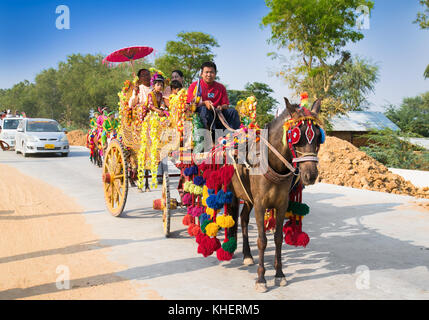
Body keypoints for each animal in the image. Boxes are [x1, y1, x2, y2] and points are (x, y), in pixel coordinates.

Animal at [226, 95, 320, 292]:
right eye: (296, 136)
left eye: (318, 136)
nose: (310, 174)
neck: (273, 163)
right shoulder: (261, 205)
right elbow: (262, 240)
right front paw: (261, 279)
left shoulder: (281, 204)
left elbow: (278, 238)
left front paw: (279, 274)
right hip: (231, 193)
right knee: (230, 216)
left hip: (248, 199)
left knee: (243, 219)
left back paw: (247, 254)